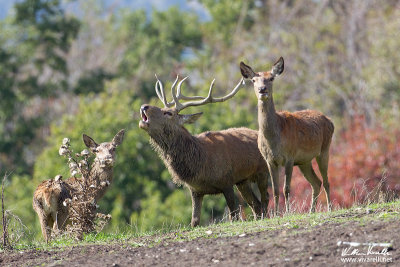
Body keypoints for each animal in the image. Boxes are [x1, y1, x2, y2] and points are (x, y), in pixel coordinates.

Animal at [139, 76, 270, 227]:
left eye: (168, 113)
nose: (144, 106)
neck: (201, 164)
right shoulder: (195, 191)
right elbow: (194, 221)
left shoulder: (226, 181)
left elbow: (234, 215)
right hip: (242, 181)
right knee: (256, 205)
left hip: (263, 171)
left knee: (265, 199)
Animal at [241, 58, 334, 214]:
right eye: (254, 80)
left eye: (271, 78)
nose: (262, 89)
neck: (273, 140)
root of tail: (330, 121)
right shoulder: (269, 160)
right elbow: (275, 190)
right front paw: (276, 214)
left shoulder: (290, 157)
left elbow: (286, 189)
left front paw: (288, 212)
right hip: (304, 161)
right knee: (316, 182)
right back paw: (311, 211)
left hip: (324, 149)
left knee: (326, 181)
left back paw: (329, 209)